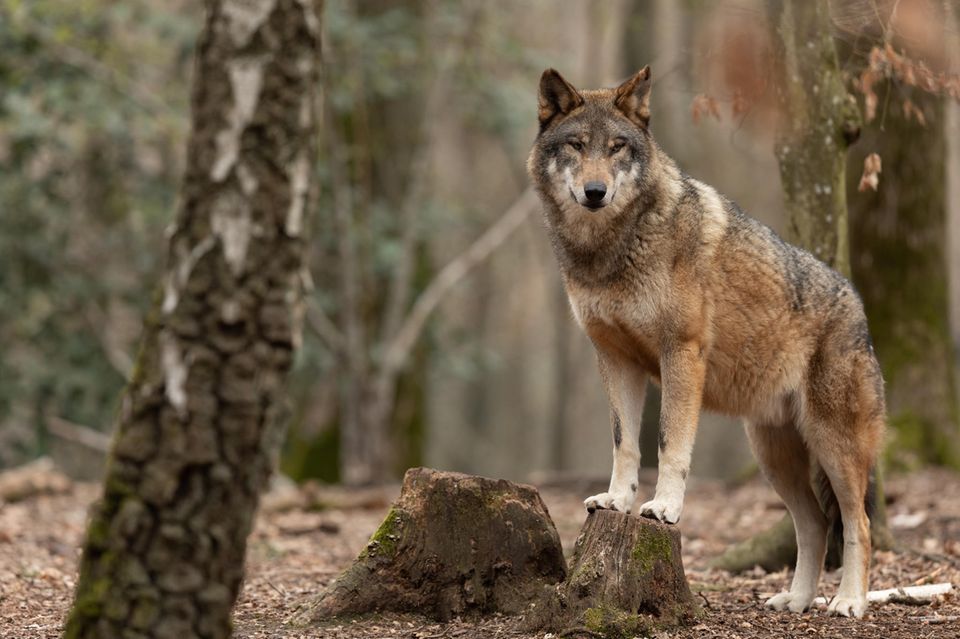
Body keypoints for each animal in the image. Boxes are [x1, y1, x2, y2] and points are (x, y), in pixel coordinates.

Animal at [527, 66, 885, 618]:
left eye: (616, 148)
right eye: (576, 145)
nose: (595, 191)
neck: (610, 249)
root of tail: (858, 304)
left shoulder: (681, 353)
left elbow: (669, 442)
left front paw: (663, 508)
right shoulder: (614, 359)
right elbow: (625, 444)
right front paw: (616, 501)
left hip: (833, 447)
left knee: (857, 525)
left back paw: (848, 602)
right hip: (773, 456)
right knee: (814, 524)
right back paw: (797, 600)